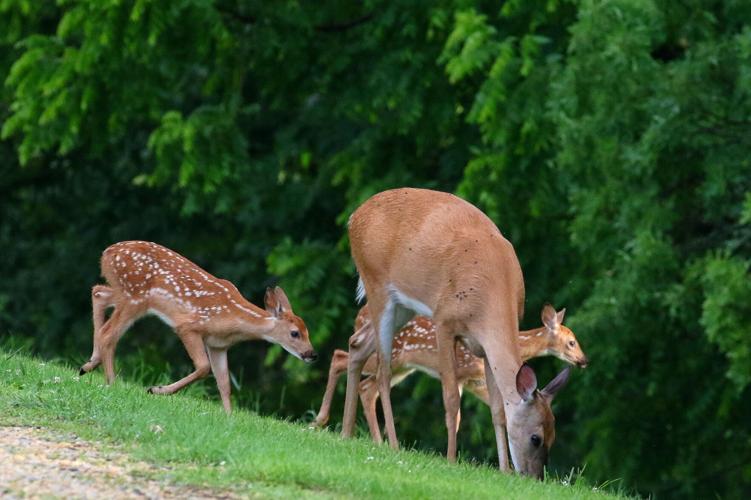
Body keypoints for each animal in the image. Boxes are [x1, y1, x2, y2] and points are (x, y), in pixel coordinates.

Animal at [79, 241, 317, 413]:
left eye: (308, 331)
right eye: (295, 333)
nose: (311, 354)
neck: (234, 318)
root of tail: (107, 253)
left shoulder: (218, 345)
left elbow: (224, 383)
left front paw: (228, 417)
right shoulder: (189, 326)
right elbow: (203, 368)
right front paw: (156, 389)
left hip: (125, 294)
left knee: (98, 293)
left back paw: (89, 364)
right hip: (135, 297)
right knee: (109, 332)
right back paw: (111, 382)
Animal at [312, 303, 587, 444]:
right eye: (572, 342)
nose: (584, 360)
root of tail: (359, 315)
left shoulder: (475, 381)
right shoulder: (462, 371)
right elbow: (454, 416)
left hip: (403, 368)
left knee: (367, 386)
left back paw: (376, 440)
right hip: (394, 356)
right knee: (341, 357)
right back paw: (322, 421)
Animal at [343, 187, 571, 479]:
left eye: (553, 436)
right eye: (536, 438)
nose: (534, 477)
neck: (489, 300)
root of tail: (354, 216)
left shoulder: (483, 348)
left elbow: (498, 409)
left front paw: (504, 469)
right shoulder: (445, 321)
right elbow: (451, 400)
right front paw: (451, 459)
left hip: (403, 306)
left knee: (357, 343)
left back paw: (345, 433)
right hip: (377, 285)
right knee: (382, 372)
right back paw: (392, 444)